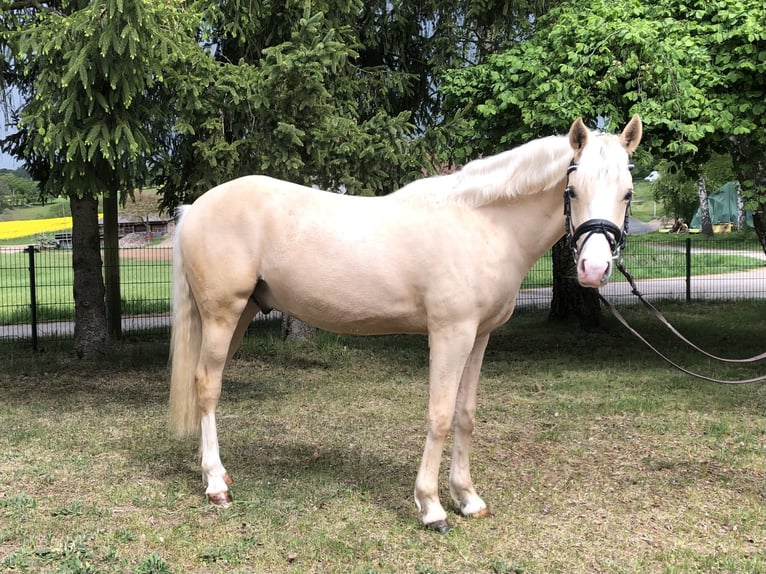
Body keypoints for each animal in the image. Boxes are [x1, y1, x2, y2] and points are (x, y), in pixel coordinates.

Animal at [169, 115, 643, 533]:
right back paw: (216, 485)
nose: (594, 269)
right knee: (208, 386)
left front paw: (468, 498)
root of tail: (196, 207)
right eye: (573, 190)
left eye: (627, 193)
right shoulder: (450, 334)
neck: (481, 223)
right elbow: (440, 415)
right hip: (222, 314)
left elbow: (465, 414)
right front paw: (431, 507)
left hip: (241, 315)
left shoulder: (479, 336)